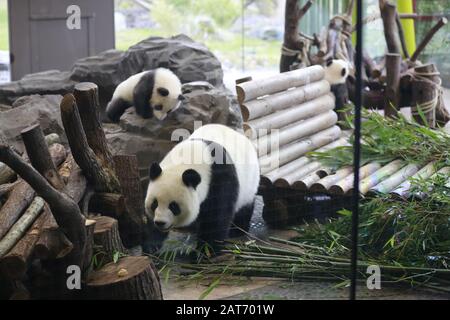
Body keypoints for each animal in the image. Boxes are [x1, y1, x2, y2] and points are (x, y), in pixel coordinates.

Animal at [144, 124, 260, 256]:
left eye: (173, 206)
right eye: (154, 203)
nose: (160, 222)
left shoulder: (219, 179)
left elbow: (217, 217)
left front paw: (205, 251)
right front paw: (151, 246)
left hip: (249, 182)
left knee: (244, 207)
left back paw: (237, 231)